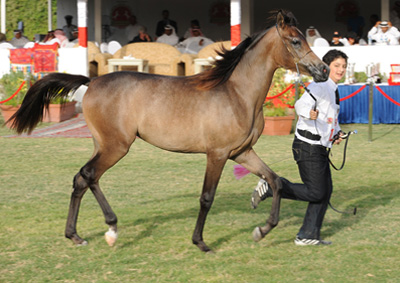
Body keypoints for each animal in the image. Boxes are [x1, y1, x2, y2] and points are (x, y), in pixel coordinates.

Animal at [7, 11, 330, 254]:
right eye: (295, 41)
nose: (323, 70)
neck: (236, 94)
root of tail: (92, 81)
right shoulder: (217, 154)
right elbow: (206, 197)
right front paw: (201, 243)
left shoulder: (241, 153)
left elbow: (274, 181)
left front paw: (261, 230)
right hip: (116, 146)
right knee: (88, 175)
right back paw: (107, 228)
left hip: (105, 145)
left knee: (85, 178)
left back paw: (81, 234)